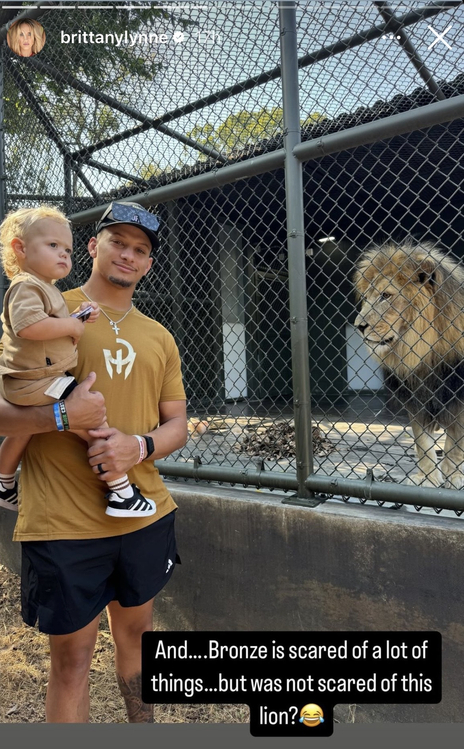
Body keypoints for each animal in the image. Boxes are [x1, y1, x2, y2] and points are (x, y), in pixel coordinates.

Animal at [354, 237, 464, 488]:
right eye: (366, 298)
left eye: (386, 296)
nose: (359, 326)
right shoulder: (415, 398)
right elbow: (422, 442)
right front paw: (427, 478)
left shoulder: (458, 396)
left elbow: (455, 442)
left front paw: (453, 476)